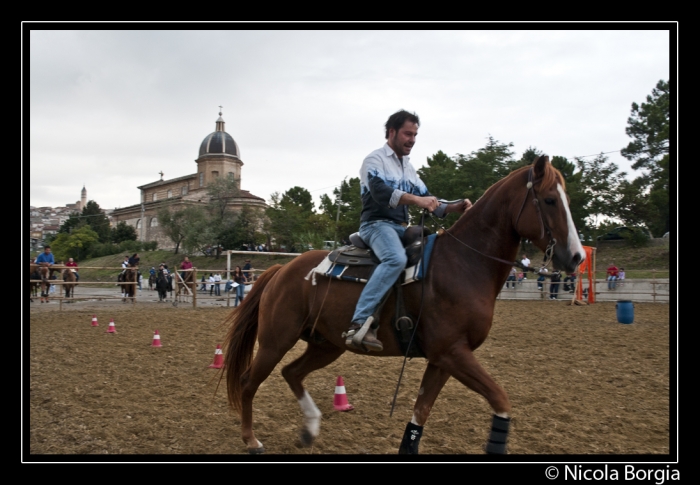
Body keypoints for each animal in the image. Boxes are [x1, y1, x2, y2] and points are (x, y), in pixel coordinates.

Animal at [223, 156, 584, 454]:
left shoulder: (443, 358)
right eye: (550, 200)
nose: (577, 257)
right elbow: (500, 398)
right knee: (248, 382)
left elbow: (420, 413)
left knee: (291, 372)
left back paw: (309, 429)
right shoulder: (453, 353)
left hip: (326, 345)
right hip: (276, 340)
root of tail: (281, 270)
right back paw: (251, 440)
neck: (463, 264)